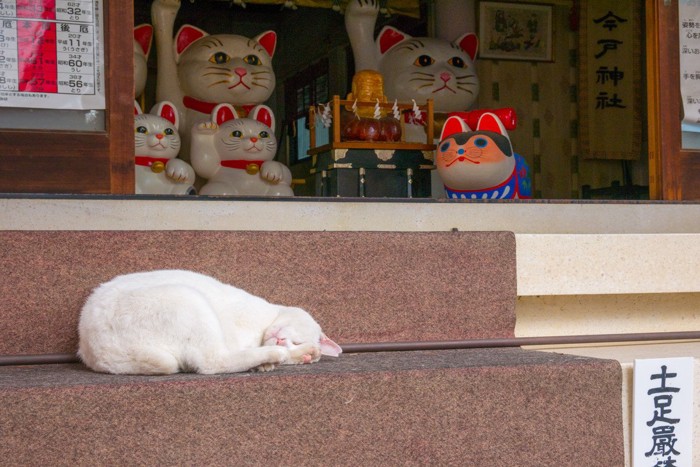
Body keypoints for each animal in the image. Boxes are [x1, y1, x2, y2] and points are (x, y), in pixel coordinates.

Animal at [79, 270, 342, 376]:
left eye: (294, 341)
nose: (281, 341)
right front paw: (295, 354)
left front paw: (301, 354)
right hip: (188, 299)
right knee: (211, 362)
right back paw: (273, 355)